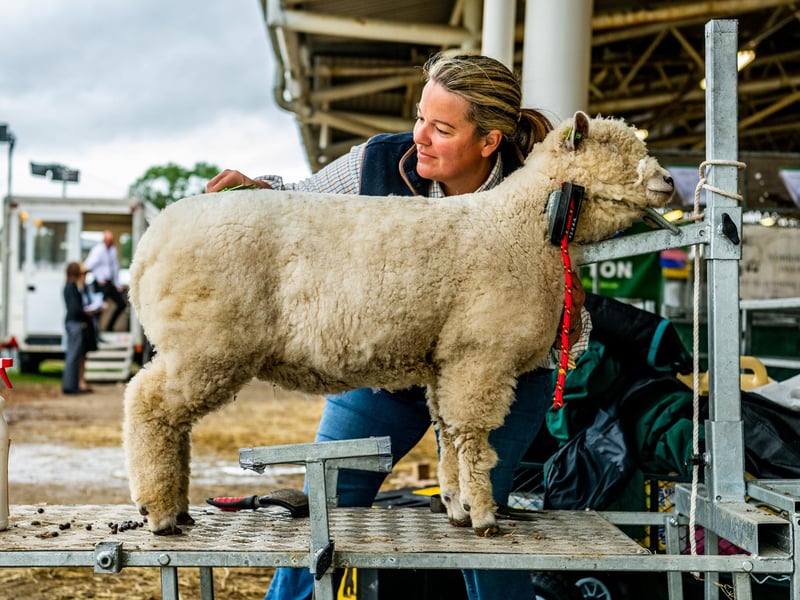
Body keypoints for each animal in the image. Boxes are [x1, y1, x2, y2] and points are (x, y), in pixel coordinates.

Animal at [123, 111, 674, 536]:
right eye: (614, 148)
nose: (669, 181)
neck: (519, 225)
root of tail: (149, 246)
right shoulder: (481, 356)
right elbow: (473, 440)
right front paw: (483, 516)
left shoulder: (449, 363)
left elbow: (449, 434)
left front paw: (454, 506)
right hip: (205, 344)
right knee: (148, 406)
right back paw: (160, 510)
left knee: (169, 420)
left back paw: (176, 507)